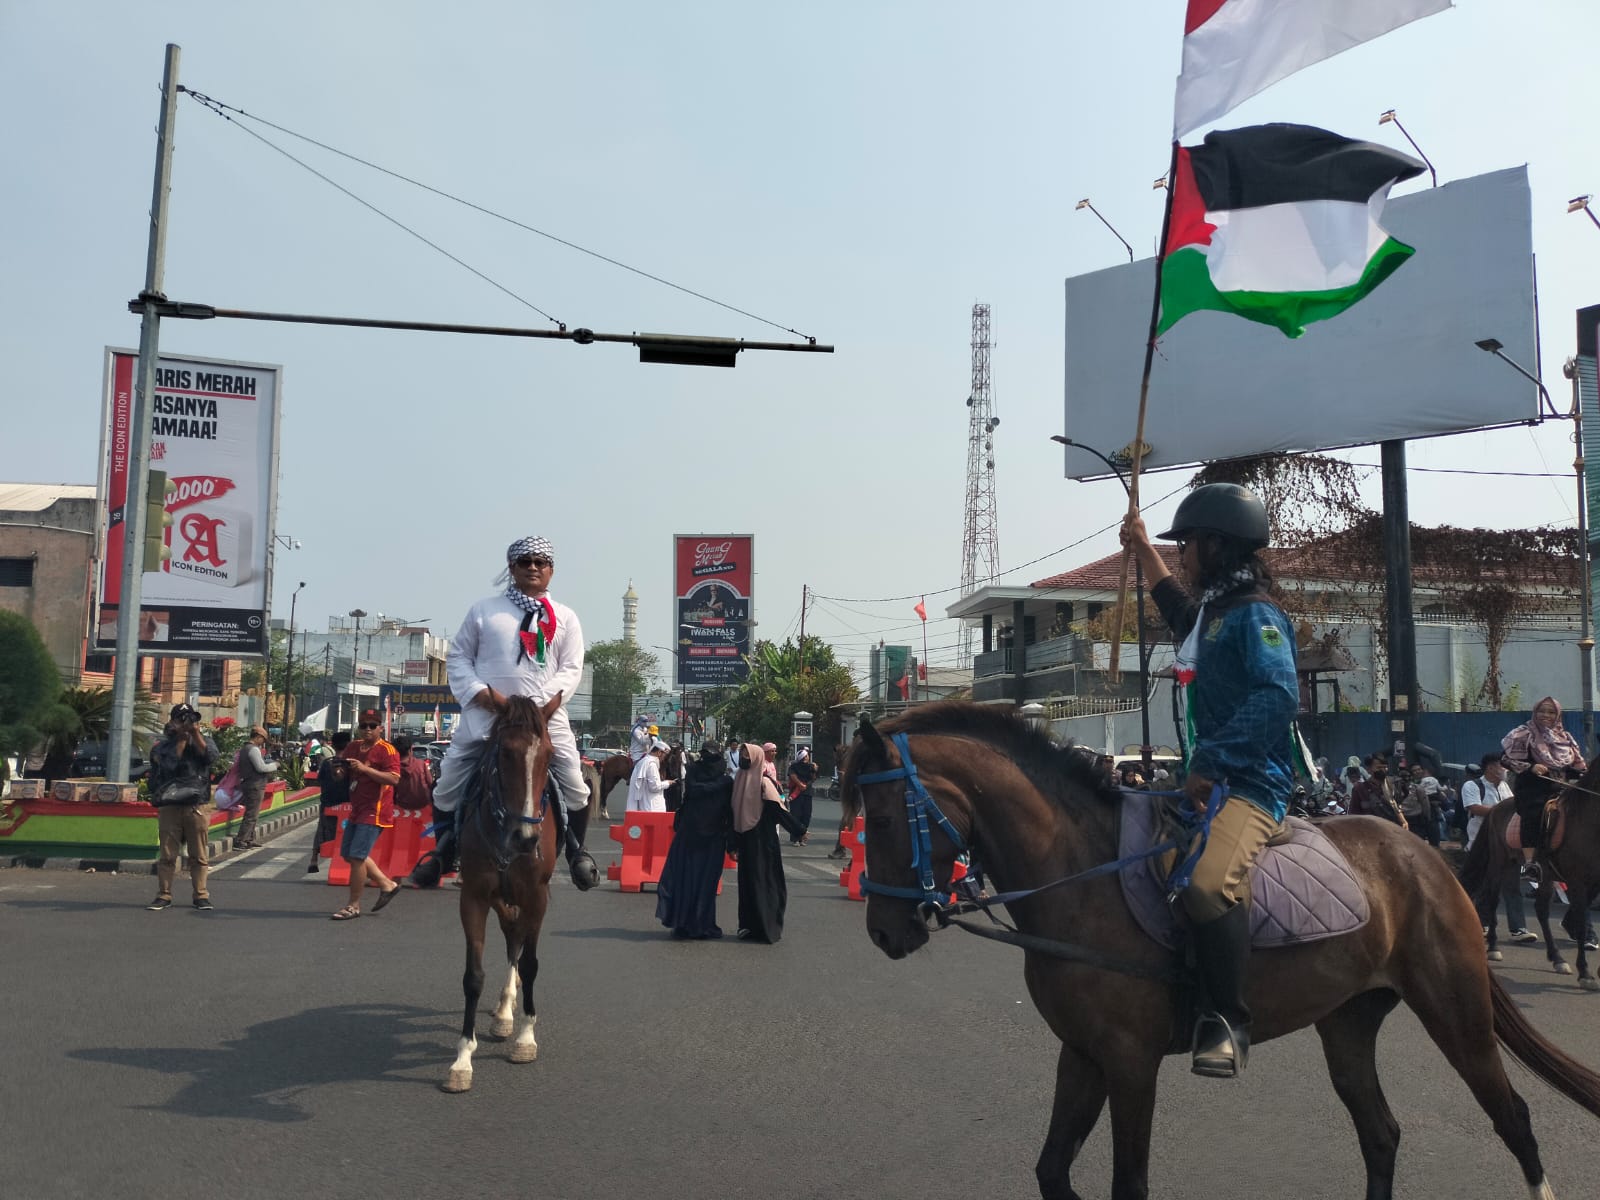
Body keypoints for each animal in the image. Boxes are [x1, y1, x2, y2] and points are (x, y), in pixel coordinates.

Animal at [444, 694, 563, 1100]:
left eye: (549, 755)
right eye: (505, 753)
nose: (525, 839)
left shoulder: (537, 897)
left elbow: (530, 965)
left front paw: (526, 1038)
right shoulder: (474, 897)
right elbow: (472, 976)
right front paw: (463, 1059)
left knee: (518, 943)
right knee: (512, 933)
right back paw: (503, 1012)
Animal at [1465, 771, 1600, 998]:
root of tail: (1495, 808)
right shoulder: (1578, 882)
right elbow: (1581, 924)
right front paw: (1586, 974)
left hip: (1541, 873)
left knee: (1541, 910)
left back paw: (1557, 959)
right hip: (1499, 862)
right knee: (1492, 899)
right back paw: (1493, 948)